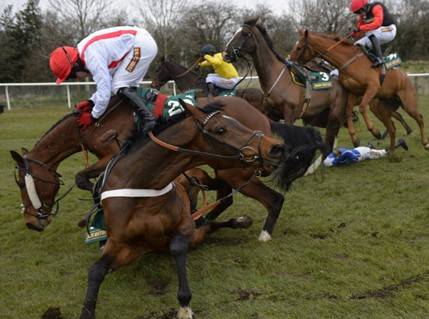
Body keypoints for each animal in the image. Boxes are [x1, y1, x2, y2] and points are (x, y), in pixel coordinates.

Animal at [290, 29, 426, 152]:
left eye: (299, 47)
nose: (290, 61)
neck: (347, 62)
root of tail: (404, 75)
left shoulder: (372, 87)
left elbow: (361, 107)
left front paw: (374, 131)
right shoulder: (352, 92)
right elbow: (348, 112)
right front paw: (355, 138)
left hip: (406, 103)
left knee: (419, 118)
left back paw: (424, 142)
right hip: (382, 107)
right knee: (393, 122)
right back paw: (394, 144)